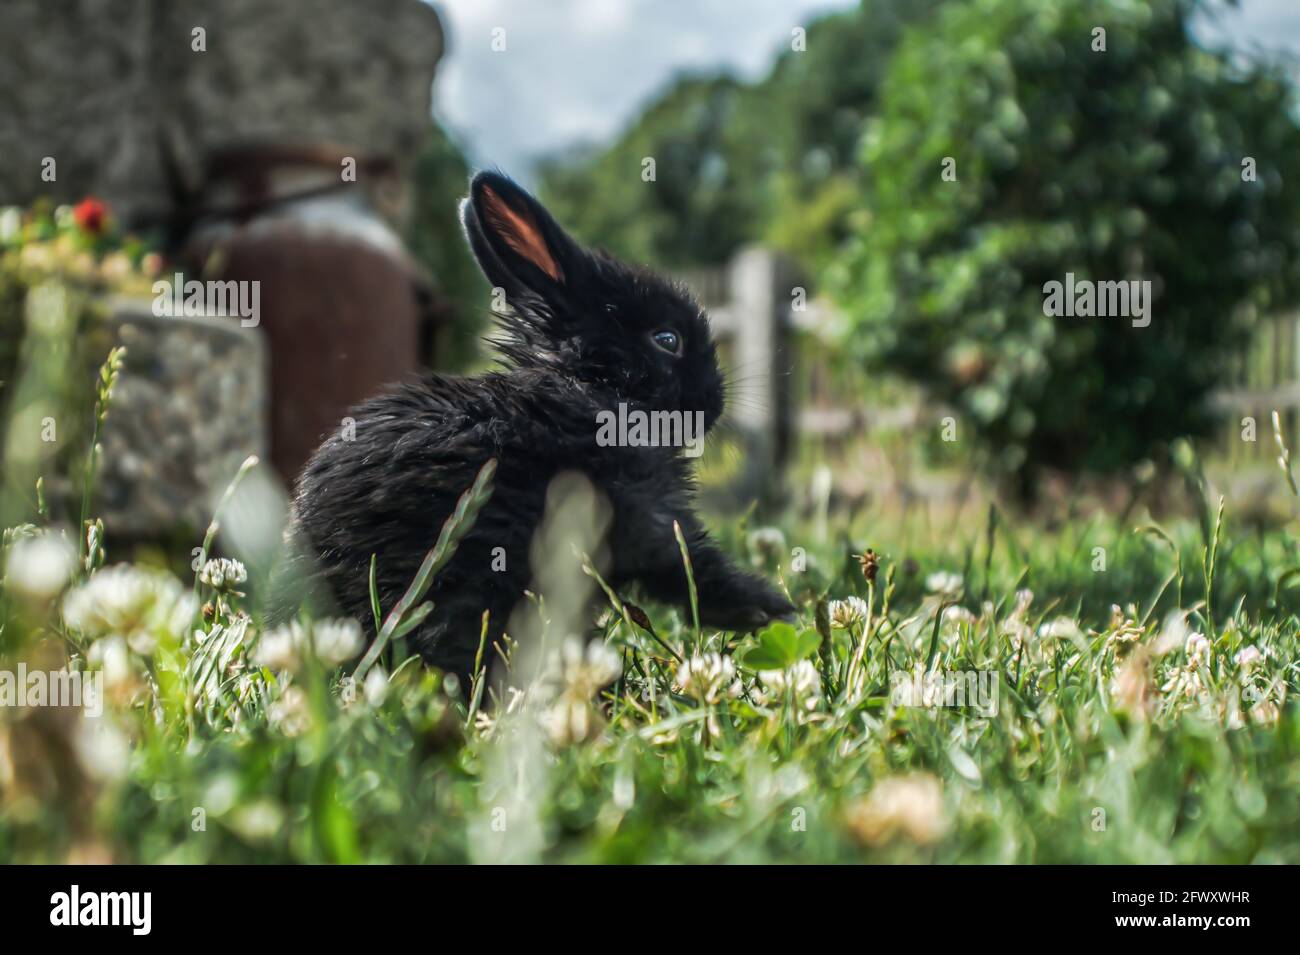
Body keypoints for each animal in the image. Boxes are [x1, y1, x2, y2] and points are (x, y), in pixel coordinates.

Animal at [281, 171, 796, 687]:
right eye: (667, 339)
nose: (717, 403)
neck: (596, 387)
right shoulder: (646, 514)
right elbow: (690, 568)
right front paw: (770, 610)